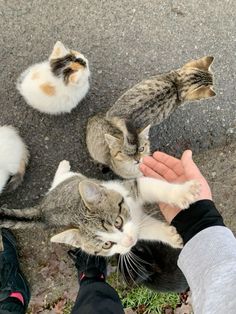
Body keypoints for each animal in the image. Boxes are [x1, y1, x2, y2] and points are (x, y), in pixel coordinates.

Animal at [0, 159, 201, 255]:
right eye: (106, 245)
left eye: (118, 222)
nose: (129, 242)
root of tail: (43, 210)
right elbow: (146, 230)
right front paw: (169, 236)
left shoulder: (128, 188)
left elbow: (156, 187)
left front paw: (182, 193)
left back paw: (63, 167)